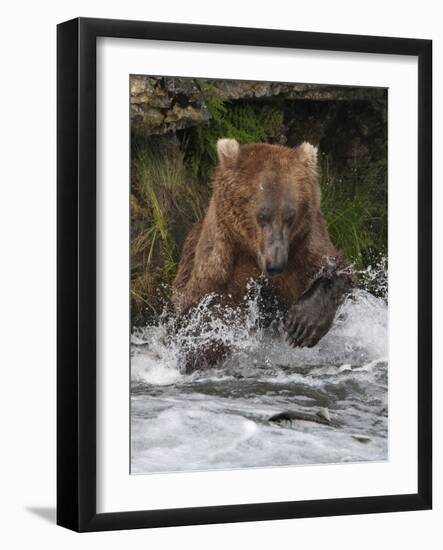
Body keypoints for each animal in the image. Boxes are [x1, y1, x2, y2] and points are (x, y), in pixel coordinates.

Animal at [172, 138, 352, 374]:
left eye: (290, 216)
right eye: (262, 215)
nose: (275, 263)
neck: (252, 251)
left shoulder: (305, 246)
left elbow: (336, 269)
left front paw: (302, 325)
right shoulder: (220, 263)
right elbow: (202, 313)